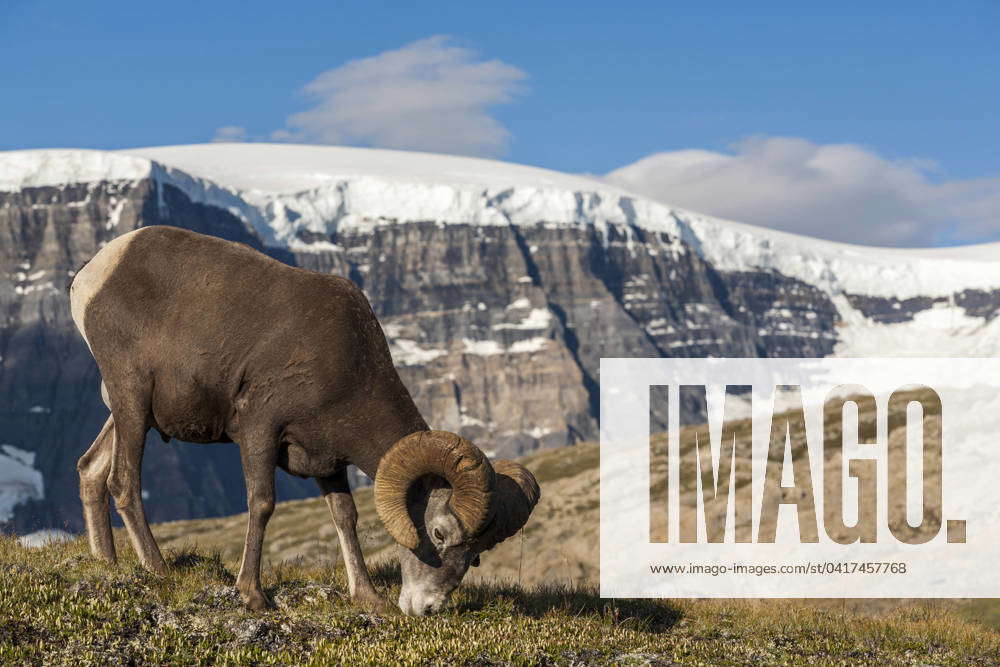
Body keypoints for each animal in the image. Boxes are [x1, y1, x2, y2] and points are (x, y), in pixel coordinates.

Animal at [69, 227, 540, 620]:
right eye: (439, 533)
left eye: (477, 553)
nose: (427, 608)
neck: (348, 367)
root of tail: (93, 273)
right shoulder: (260, 431)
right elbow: (262, 504)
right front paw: (253, 595)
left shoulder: (328, 462)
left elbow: (346, 517)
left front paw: (368, 597)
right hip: (132, 399)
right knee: (123, 482)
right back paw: (158, 568)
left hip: (131, 414)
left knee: (91, 469)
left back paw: (107, 563)